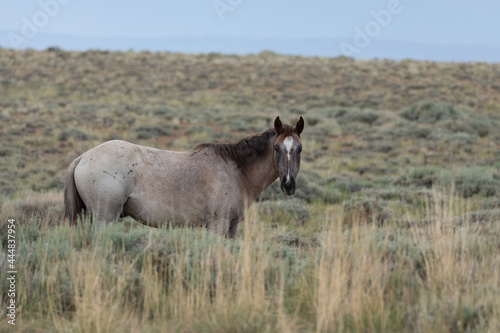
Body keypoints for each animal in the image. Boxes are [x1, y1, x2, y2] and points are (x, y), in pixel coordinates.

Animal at [63, 115, 304, 237]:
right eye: (276, 149)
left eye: (299, 149)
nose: (288, 185)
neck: (236, 170)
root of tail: (83, 157)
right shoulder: (217, 226)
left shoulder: (231, 227)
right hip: (105, 218)